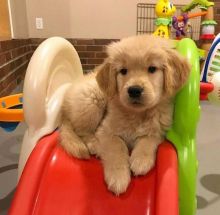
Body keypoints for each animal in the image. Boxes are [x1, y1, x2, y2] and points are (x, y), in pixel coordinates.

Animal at [59, 34, 191, 196]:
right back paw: (95, 144)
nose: (134, 90)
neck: (138, 114)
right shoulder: (106, 131)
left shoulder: (159, 128)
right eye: (123, 71)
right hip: (92, 98)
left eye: (152, 69)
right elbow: (117, 148)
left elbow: (149, 140)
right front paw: (118, 177)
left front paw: (141, 160)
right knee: (81, 131)